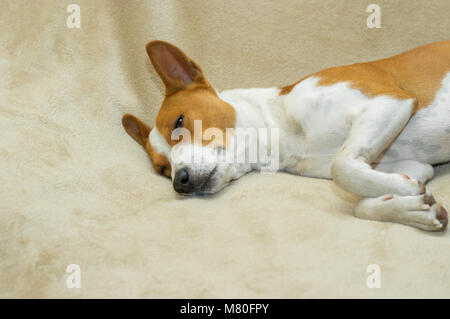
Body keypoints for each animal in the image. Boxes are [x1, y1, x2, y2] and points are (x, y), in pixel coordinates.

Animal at [123, 41, 450, 234]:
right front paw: (412, 206)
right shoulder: (410, 164)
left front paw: (406, 193)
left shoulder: (390, 101)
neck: (285, 135)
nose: (180, 182)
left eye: (179, 122)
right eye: (162, 170)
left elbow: (341, 168)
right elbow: (360, 201)